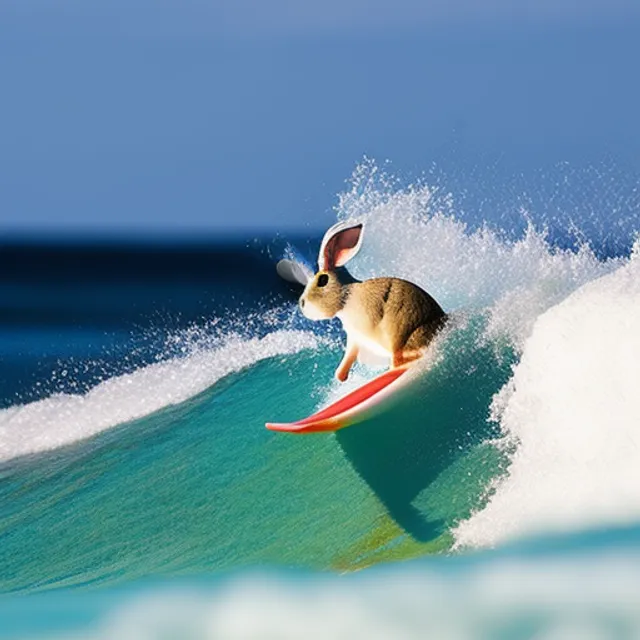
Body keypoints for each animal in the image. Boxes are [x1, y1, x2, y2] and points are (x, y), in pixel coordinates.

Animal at [298, 221, 444, 380]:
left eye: (323, 280)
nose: (302, 304)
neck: (347, 298)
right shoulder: (355, 338)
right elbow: (348, 357)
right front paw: (340, 376)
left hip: (404, 337)